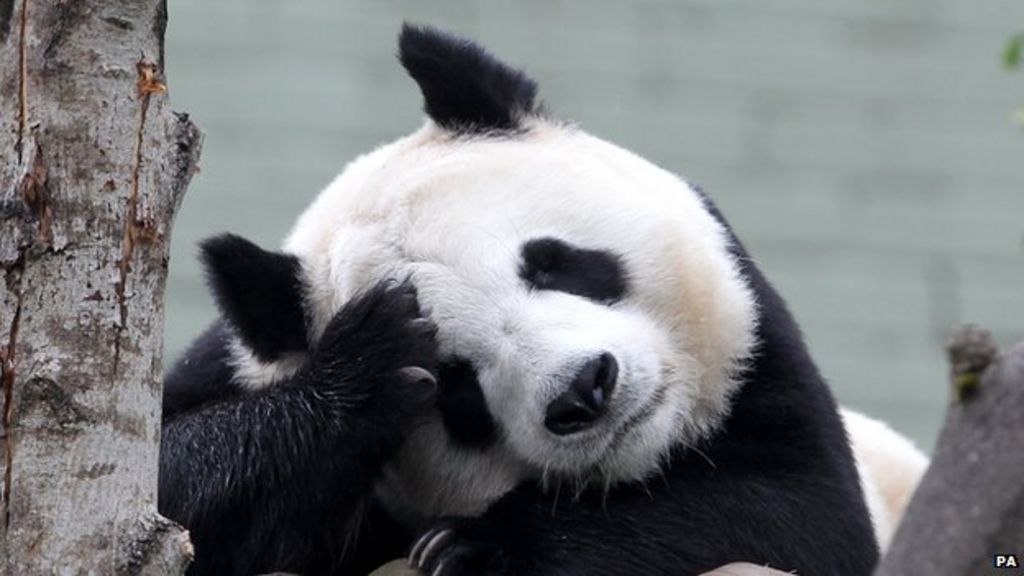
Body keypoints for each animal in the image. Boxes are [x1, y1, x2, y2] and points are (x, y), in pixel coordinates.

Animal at [161, 22, 921, 573]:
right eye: (455, 383)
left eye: (552, 263)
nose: (584, 389)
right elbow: (172, 482)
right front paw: (367, 365)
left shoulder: (763, 363)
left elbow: (794, 513)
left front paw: (475, 550)